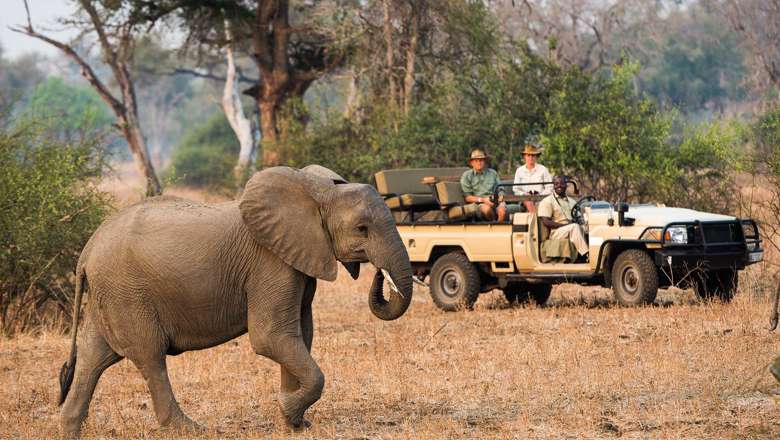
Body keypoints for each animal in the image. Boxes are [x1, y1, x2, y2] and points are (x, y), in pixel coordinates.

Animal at [56, 164, 414, 436]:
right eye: (362, 229)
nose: (379, 274)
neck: (317, 191)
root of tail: (87, 250)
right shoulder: (270, 263)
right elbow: (271, 336)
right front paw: (287, 410)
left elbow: (300, 334)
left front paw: (294, 424)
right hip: (127, 292)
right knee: (150, 356)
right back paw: (190, 430)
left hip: (111, 293)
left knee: (93, 357)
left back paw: (70, 429)